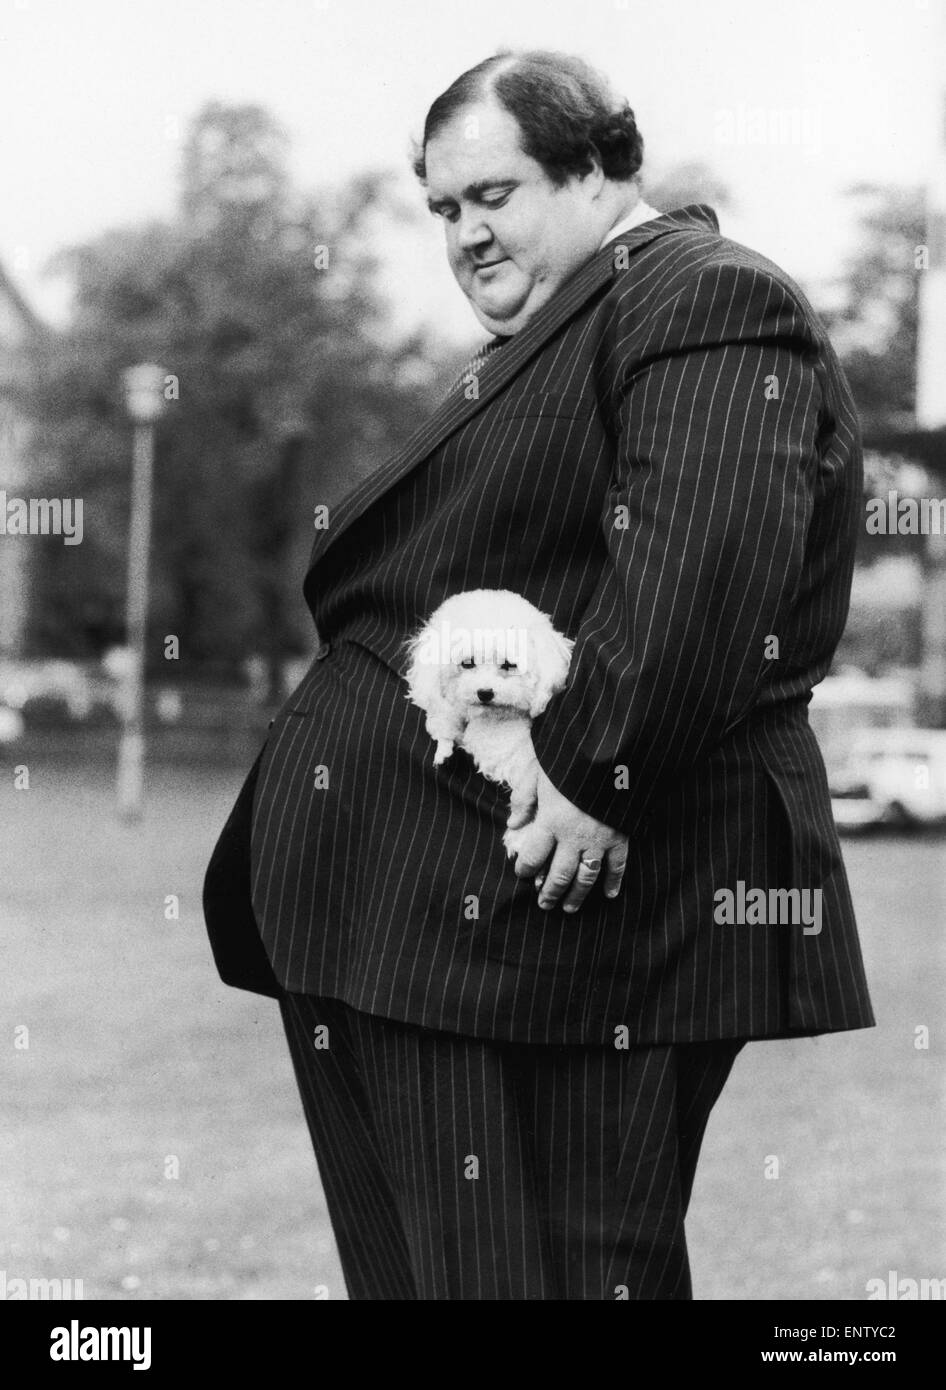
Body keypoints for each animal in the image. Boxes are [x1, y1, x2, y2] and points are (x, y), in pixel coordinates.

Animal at [402, 589, 572, 856]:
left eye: (509, 664)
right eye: (468, 663)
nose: (484, 692)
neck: (494, 721)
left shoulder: (518, 759)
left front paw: (523, 837)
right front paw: (444, 749)